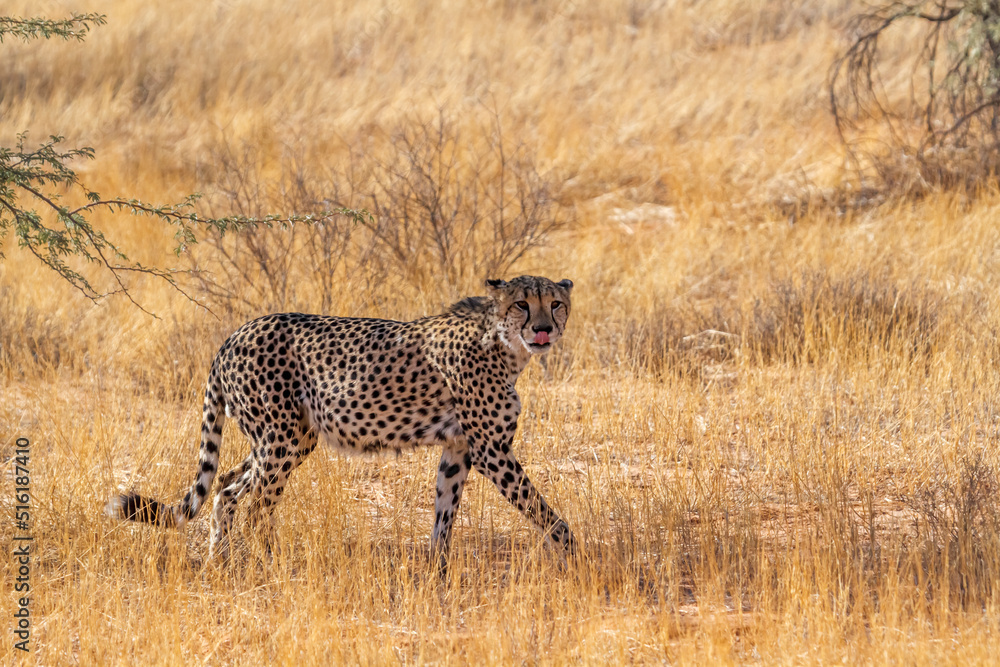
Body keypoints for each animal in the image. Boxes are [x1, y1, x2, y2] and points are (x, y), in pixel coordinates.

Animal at [107, 275, 577, 564]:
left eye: (555, 304)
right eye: (522, 304)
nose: (543, 330)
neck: (502, 343)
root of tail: (234, 334)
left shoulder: (458, 449)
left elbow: (445, 514)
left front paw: (437, 570)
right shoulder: (491, 450)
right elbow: (543, 510)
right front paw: (579, 557)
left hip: (289, 437)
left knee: (225, 487)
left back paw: (220, 562)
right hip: (282, 436)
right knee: (258, 505)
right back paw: (270, 565)